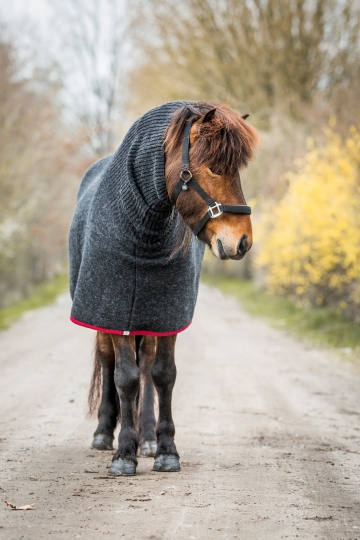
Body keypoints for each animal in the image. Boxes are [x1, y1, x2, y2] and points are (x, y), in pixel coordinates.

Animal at [68, 99, 258, 474]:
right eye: (214, 168)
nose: (242, 241)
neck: (144, 230)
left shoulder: (167, 315)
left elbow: (163, 375)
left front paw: (166, 449)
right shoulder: (116, 312)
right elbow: (124, 378)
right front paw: (123, 454)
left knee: (146, 368)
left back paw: (147, 438)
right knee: (109, 363)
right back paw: (104, 432)